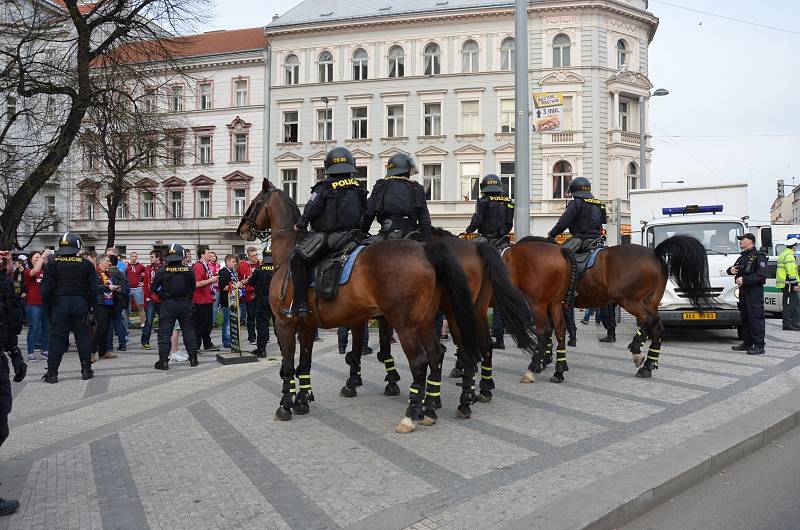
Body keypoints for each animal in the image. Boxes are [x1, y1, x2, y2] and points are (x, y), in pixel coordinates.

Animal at [238, 179, 482, 432]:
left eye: (255, 202)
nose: (241, 229)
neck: (288, 254)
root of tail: (425, 250)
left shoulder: (285, 325)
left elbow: (288, 366)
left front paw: (286, 405)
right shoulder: (307, 327)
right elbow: (305, 364)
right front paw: (302, 401)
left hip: (406, 325)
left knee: (420, 361)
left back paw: (413, 413)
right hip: (425, 321)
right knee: (437, 354)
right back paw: (431, 408)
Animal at [504, 235, 708, 380]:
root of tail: (654, 253)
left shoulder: (544, 303)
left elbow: (548, 330)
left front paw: (542, 361)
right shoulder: (552, 304)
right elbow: (555, 330)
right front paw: (548, 360)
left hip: (628, 300)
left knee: (650, 321)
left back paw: (636, 348)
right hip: (649, 302)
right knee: (657, 327)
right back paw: (648, 365)